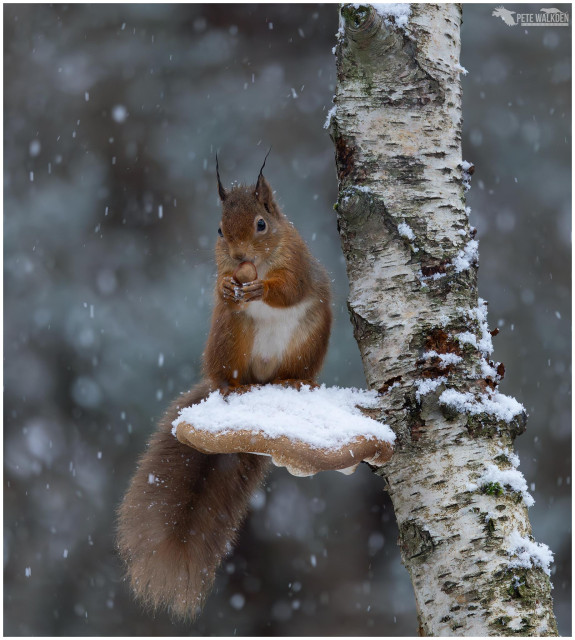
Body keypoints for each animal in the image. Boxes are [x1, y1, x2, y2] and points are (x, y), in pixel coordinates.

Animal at [117, 154, 332, 620]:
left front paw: (262, 287)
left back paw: (292, 380)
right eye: (218, 229)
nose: (237, 257)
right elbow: (220, 285)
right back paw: (232, 388)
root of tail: (261, 381)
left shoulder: (299, 264)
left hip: (307, 345)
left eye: (261, 224)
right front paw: (226, 285)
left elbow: (289, 289)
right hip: (230, 337)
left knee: (295, 369)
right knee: (227, 371)